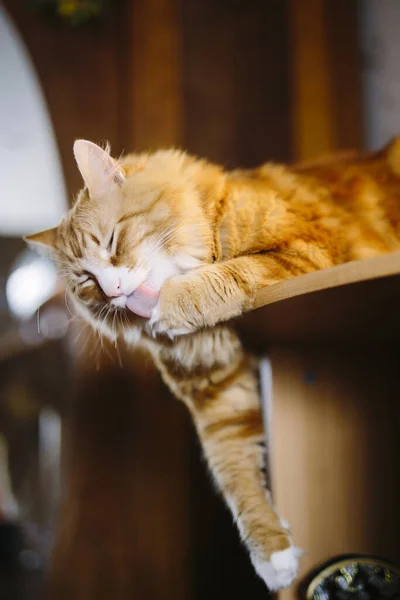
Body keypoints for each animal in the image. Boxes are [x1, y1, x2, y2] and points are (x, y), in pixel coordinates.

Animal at [26, 137, 400, 592]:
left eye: (111, 241)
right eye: (85, 280)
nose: (114, 291)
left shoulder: (307, 252)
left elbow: (234, 272)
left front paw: (173, 301)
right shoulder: (217, 394)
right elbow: (237, 477)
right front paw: (272, 555)